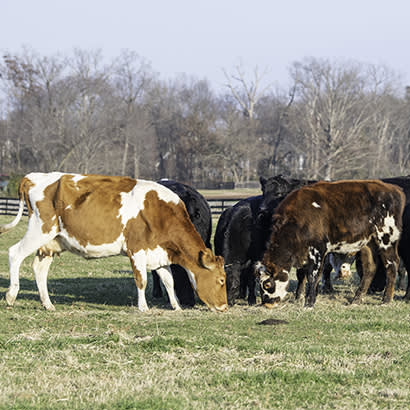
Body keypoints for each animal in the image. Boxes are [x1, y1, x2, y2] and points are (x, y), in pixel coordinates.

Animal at [255, 179, 406, 308]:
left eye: (267, 284)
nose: (267, 303)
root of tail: (394, 189)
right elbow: (304, 275)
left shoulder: (318, 251)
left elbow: (313, 276)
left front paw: (309, 303)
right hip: (368, 244)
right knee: (370, 268)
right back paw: (356, 300)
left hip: (386, 239)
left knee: (392, 265)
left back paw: (386, 300)